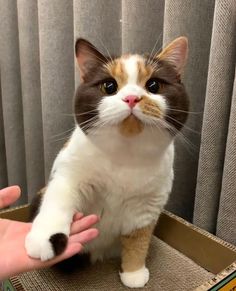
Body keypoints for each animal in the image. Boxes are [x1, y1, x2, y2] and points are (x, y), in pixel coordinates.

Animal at [24, 37, 189, 290]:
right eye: (109, 86)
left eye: (153, 85)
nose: (132, 98)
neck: (125, 154)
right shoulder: (69, 174)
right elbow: (59, 201)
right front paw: (45, 239)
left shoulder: (148, 205)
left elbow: (138, 240)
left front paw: (133, 273)